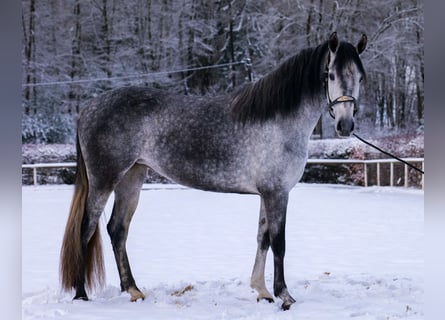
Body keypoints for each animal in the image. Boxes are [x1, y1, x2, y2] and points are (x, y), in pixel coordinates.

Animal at [60, 32, 366, 310]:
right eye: (331, 76)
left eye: (360, 77)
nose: (345, 125)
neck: (279, 120)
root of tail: (88, 108)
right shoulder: (277, 193)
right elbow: (279, 242)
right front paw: (284, 296)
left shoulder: (266, 193)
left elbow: (263, 238)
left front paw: (262, 291)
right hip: (104, 181)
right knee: (86, 229)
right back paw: (81, 295)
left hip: (132, 178)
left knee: (117, 229)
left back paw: (133, 290)